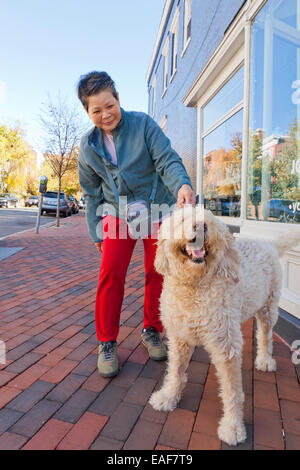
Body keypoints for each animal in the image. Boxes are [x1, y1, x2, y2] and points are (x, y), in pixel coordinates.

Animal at [149, 206, 300, 444]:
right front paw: (169, 396)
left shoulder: (226, 346)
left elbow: (232, 392)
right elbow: (176, 370)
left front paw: (233, 427)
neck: (195, 285)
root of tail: (267, 243)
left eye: (209, 221)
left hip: (268, 307)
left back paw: (265, 360)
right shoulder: (179, 337)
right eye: (182, 220)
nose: (200, 226)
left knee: (265, 335)